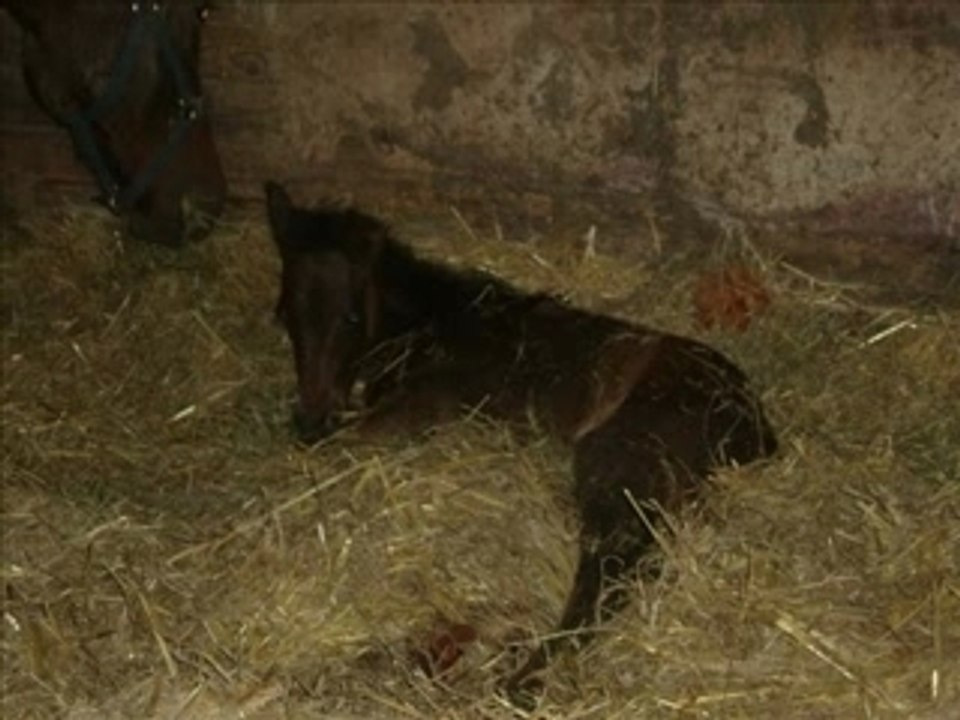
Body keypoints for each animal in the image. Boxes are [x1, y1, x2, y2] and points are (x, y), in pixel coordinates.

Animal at [263, 181, 778, 706]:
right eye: (283, 314)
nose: (311, 416)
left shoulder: (420, 410)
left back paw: (524, 679)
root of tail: (751, 422)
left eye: (350, 318)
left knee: (610, 571)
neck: (437, 323)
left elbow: (333, 447)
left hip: (619, 459)